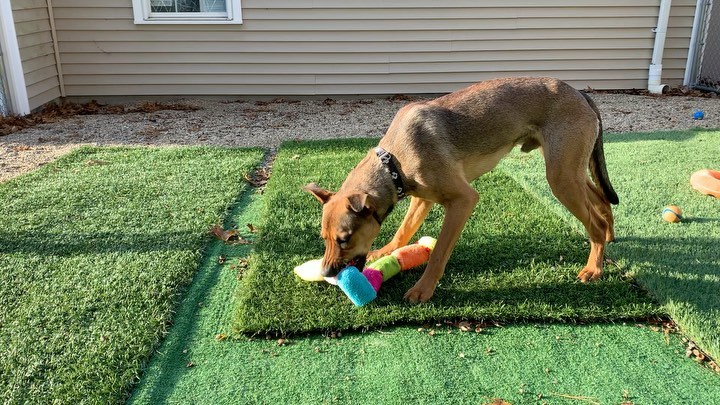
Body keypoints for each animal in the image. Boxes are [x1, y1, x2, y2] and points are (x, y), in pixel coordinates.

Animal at [306, 77, 616, 302]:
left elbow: (438, 253)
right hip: (570, 171)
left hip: (561, 177)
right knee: (601, 198)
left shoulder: (463, 200)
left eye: (344, 239)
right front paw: (387, 250)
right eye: (324, 238)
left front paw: (423, 290)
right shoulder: (422, 199)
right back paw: (610, 238)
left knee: (595, 222)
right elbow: (404, 229)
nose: (326, 272)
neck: (392, 162)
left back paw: (594, 267)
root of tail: (580, 93)